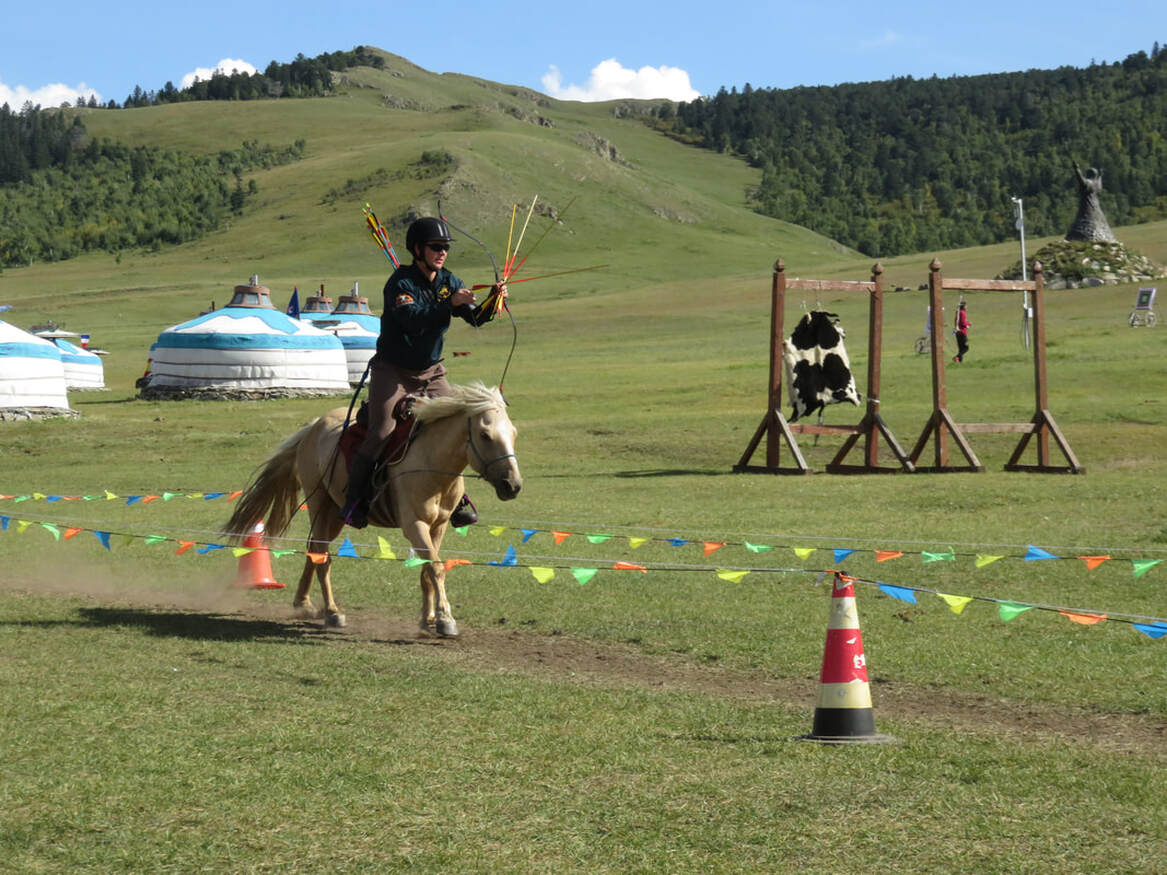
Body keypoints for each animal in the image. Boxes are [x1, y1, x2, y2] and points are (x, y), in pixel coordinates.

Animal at [224, 382, 525, 639]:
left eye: (514, 433)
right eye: (485, 435)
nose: (513, 485)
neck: (431, 463)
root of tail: (313, 427)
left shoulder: (437, 526)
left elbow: (427, 571)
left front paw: (427, 619)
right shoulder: (414, 525)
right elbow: (436, 568)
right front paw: (445, 620)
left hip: (335, 513)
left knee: (313, 550)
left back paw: (305, 604)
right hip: (320, 505)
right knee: (321, 553)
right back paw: (332, 612)